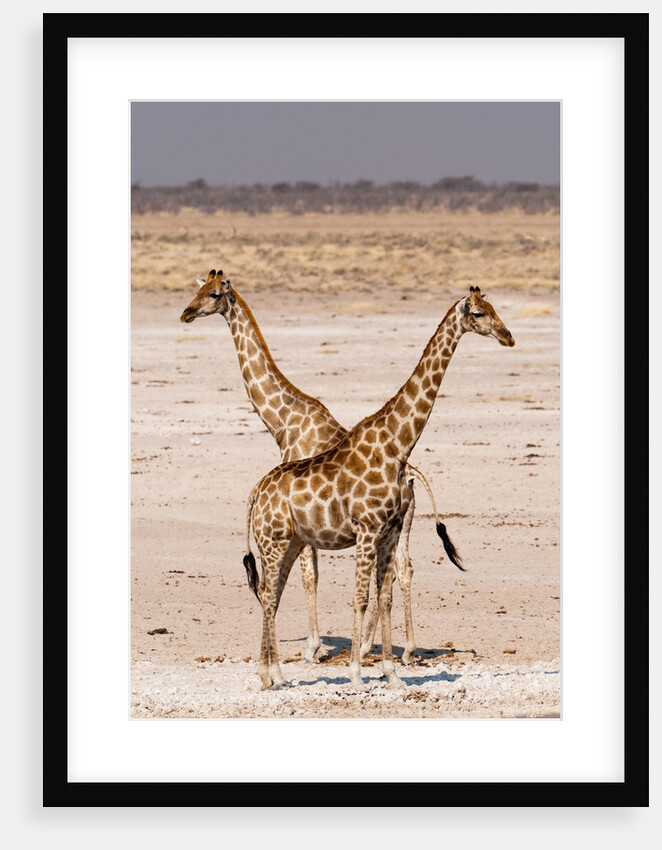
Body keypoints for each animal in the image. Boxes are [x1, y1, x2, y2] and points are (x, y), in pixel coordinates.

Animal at [180, 269, 461, 663]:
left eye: (215, 294)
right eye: (198, 289)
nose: (186, 313)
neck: (284, 422)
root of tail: (411, 476)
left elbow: (309, 576)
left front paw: (313, 648)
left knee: (390, 574)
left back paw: (371, 647)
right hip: (405, 522)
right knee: (403, 570)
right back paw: (403, 650)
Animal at [244, 286, 514, 690]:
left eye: (495, 308)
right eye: (479, 314)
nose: (508, 336)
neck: (398, 445)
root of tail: (256, 493)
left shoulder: (390, 531)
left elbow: (383, 597)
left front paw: (391, 673)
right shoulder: (368, 530)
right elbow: (359, 598)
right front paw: (357, 674)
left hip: (288, 542)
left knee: (271, 592)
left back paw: (273, 674)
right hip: (273, 542)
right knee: (267, 591)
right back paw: (270, 674)